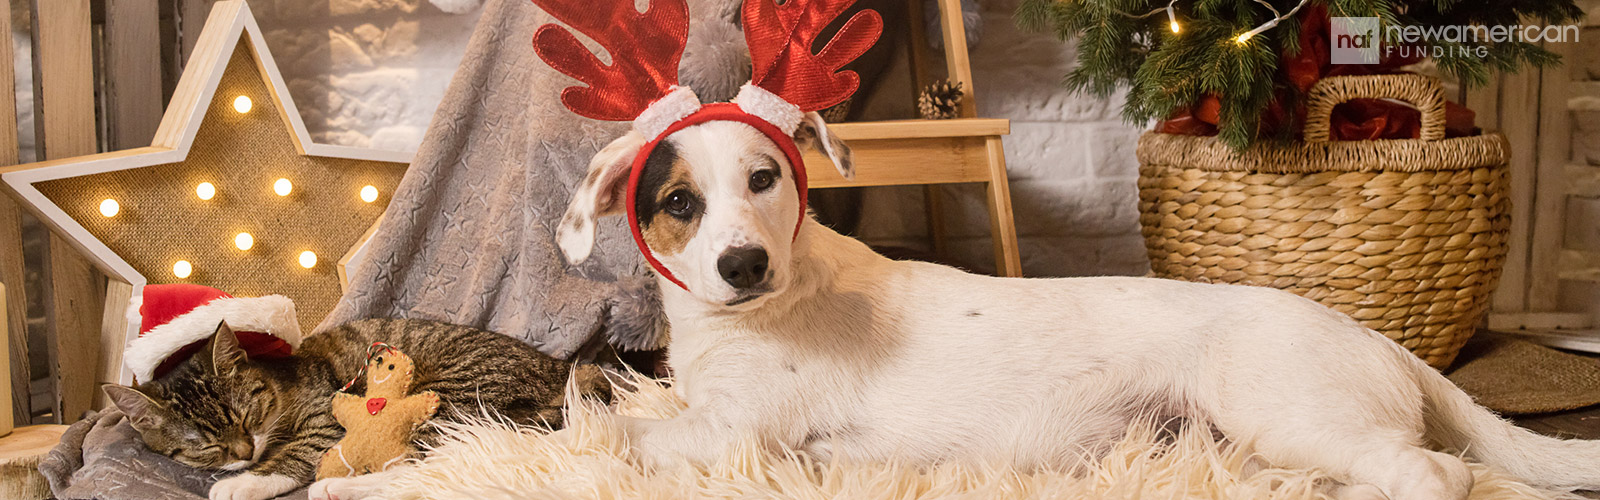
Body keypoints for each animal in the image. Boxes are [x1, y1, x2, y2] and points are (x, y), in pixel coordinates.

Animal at [104, 318, 604, 500]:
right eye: (207, 446)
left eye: (247, 418)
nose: (244, 453)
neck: (280, 384)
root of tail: (560, 369)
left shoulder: (326, 414)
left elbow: (300, 452)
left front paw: (246, 481)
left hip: (449, 394)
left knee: (429, 461)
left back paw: (338, 489)